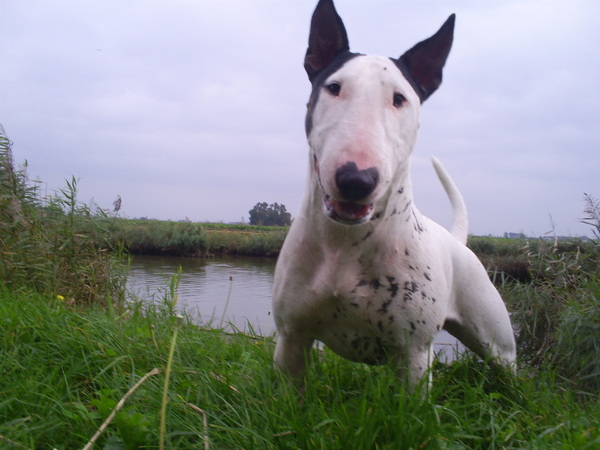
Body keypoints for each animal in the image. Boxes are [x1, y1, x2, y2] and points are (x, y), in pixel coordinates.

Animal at [272, 0, 516, 386]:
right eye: (334, 87)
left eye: (399, 98)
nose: (356, 179)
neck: (345, 244)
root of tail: (456, 241)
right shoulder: (291, 338)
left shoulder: (414, 354)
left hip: (497, 342)